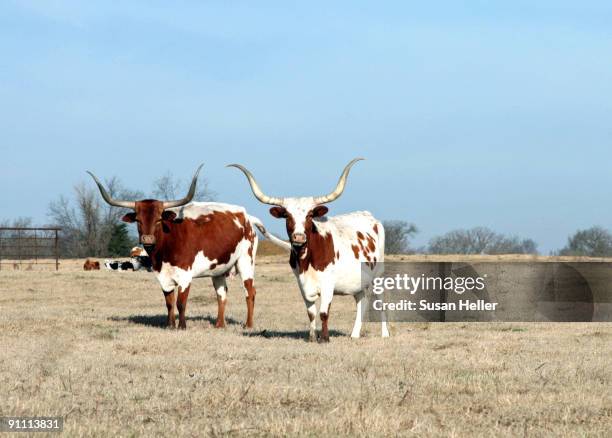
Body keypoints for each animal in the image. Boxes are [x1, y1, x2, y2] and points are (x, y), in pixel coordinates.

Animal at [86, 166, 282, 330]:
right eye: (138, 220)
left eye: (159, 219)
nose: (147, 239)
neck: (165, 249)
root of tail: (247, 216)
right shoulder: (163, 277)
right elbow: (169, 303)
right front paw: (170, 325)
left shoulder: (185, 276)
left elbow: (181, 303)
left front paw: (182, 326)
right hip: (218, 268)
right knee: (222, 294)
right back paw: (219, 325)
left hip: (245, 262)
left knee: (250, 292)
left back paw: (248, 325)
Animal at [227, 157, 390, 342]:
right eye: (287, 216)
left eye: (310, 215)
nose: (298, 237)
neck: (307, 261)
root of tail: (370, 216)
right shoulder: (302, 284)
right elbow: (311, 313)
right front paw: (312, 337)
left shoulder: (328, 285)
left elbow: (324, 313)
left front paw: (325, 338)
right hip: (358, 282)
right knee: (361, 302)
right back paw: (354, 334)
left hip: (378, 275)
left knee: (380, 302)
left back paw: (385, 333)